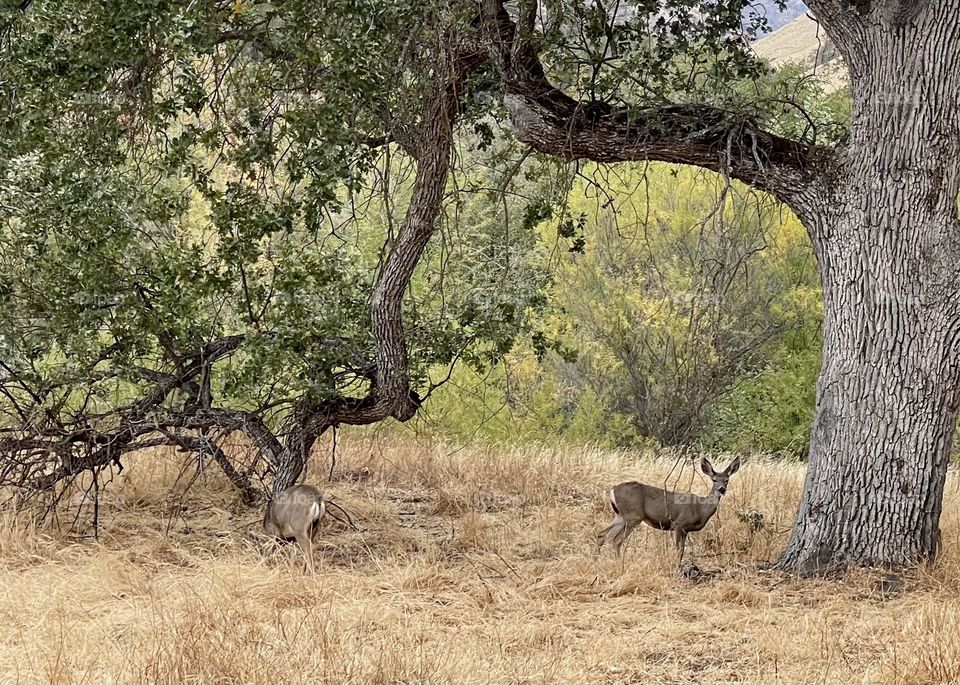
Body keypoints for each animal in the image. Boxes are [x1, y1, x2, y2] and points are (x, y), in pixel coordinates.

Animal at [596, 456, 741, 569]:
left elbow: (682, 550)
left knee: (601, 534)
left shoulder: (686, 530)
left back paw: (597, 559)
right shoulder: (679, 524)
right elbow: (679, 549)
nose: (721, 489)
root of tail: (613, 490)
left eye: (727, 480)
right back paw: (619, 564)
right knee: (616, 540)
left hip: (621, 516)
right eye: (714, 480)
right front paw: (677, 568)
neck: (700, 508)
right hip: (633, 516)